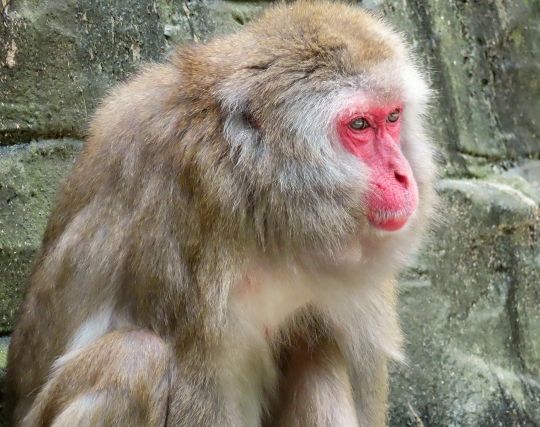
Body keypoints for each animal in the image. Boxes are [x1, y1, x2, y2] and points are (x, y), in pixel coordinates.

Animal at [5, 1, 434, 426]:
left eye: (393, 117)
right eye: (359, 125)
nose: (403, 175)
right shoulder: (188, 212)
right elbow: (199, 384)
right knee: (134, 358)